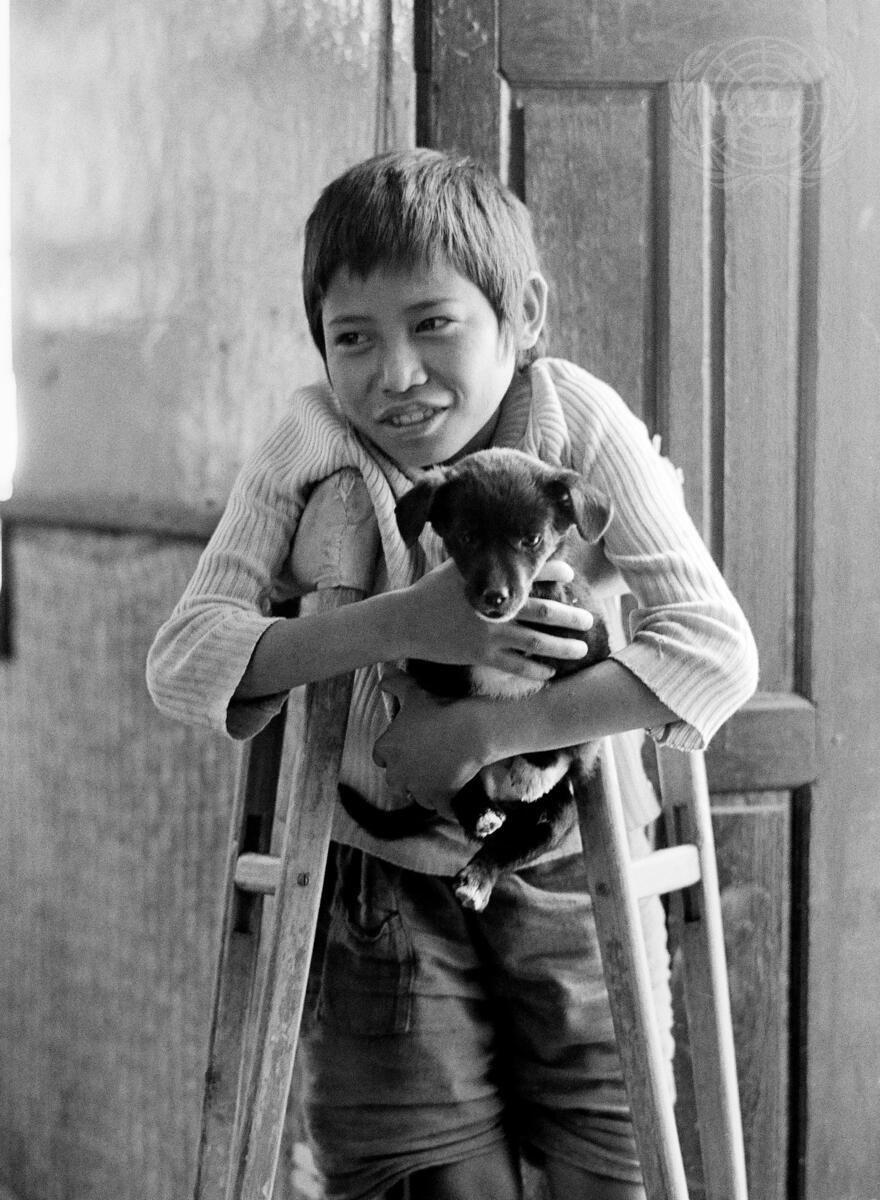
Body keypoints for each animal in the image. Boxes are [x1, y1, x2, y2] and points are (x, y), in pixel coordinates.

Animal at [338, 447, 613, 911]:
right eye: (466, 537)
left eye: (532, 540)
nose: (495, 598)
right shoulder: (434, 676)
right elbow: (448, 748)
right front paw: (479, 799)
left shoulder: (592, 654)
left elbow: (569, 732)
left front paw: (534, 769)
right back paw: (481, 819)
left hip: (559, 815)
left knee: (508, 848)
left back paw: (478, 878)